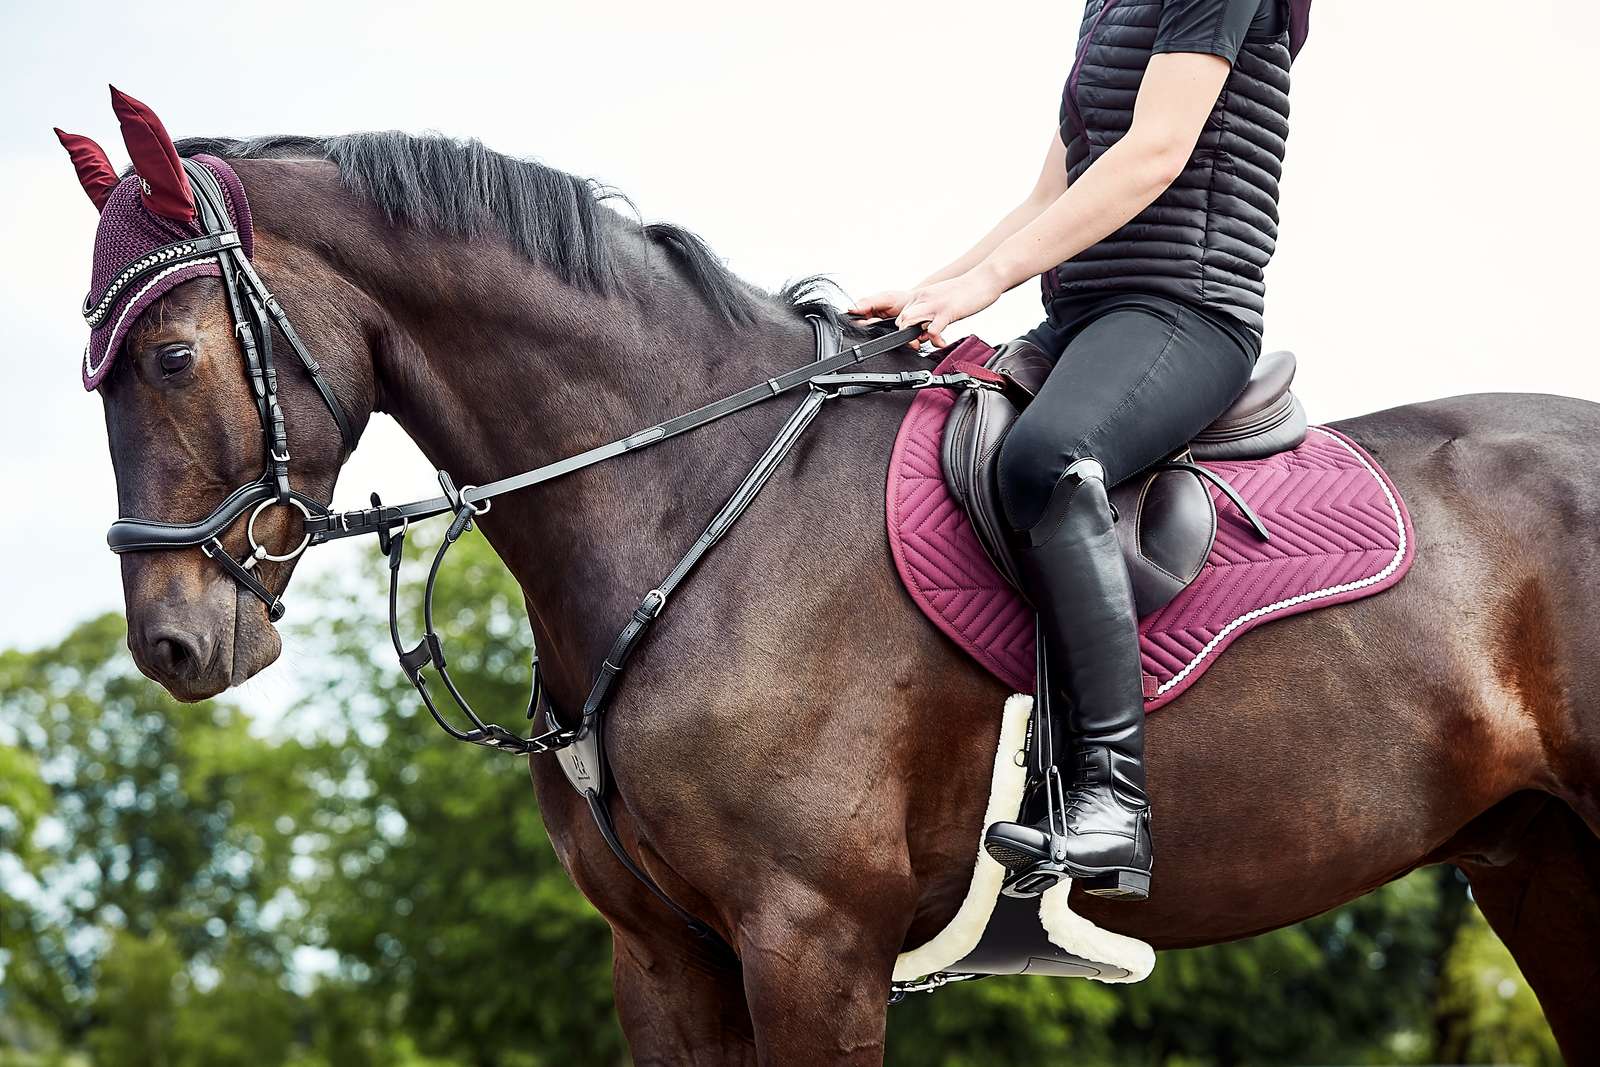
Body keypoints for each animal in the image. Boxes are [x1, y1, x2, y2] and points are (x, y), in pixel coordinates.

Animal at [82, 131, 1600, 1065]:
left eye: (169, 355)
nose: (173, 641)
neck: (690, 490)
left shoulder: (811, 936)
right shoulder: (667, 956)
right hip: (1542, 865)